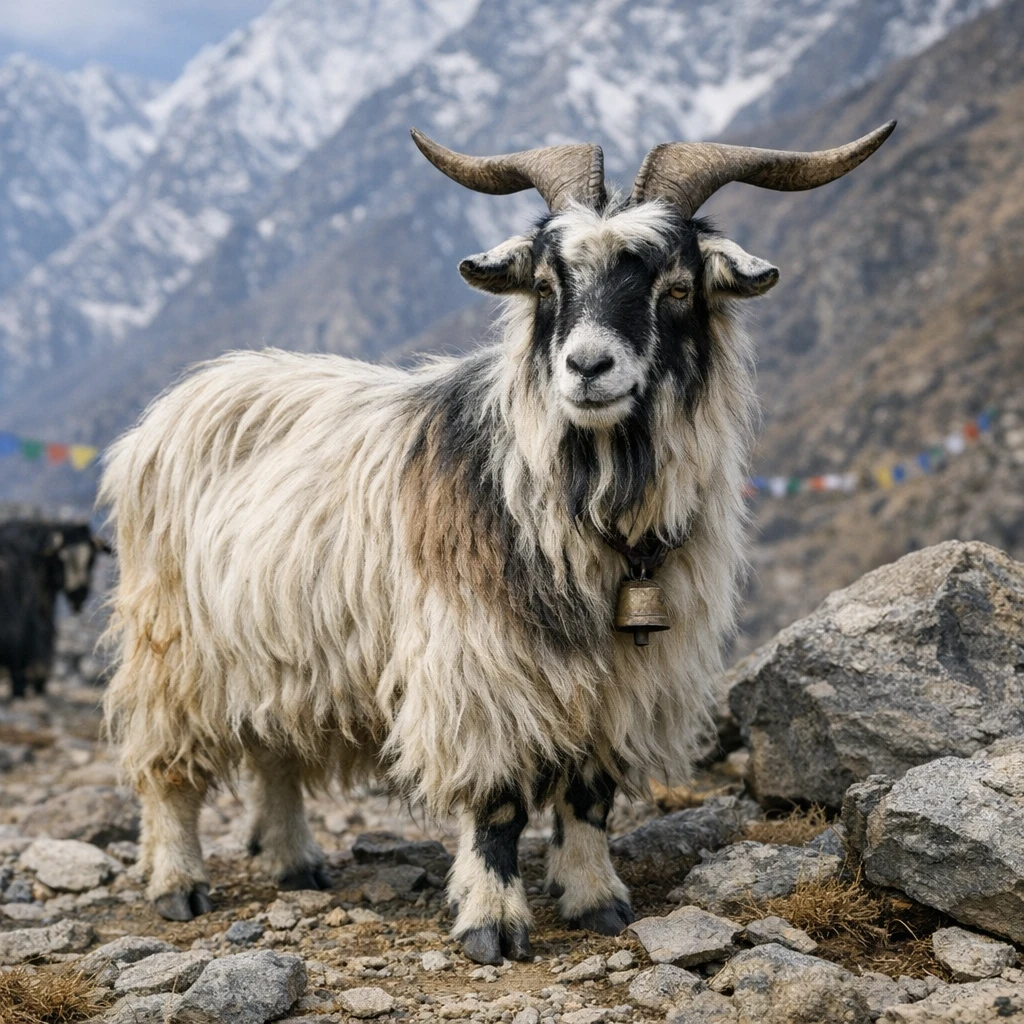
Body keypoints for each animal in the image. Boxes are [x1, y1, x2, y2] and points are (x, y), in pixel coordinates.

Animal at [0, 520, 108, 698]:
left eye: (91, 559)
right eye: (61, 560)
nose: (79, 595)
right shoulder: (35, 607)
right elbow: (40, 635)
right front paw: (36, 682)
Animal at [100, 121, 894, 963]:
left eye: (677, 287)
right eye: (547, 285)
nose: (587, 367)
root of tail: (178, 402)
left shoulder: (618, 683)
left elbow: (588, 797)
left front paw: (596, 900)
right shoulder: (477, 673)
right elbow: (498, 807)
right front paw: (493, 923)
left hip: (278, 651)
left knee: (275, 753)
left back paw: (296, 863)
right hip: (173, 647)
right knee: (166, 769)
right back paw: (177, 882)